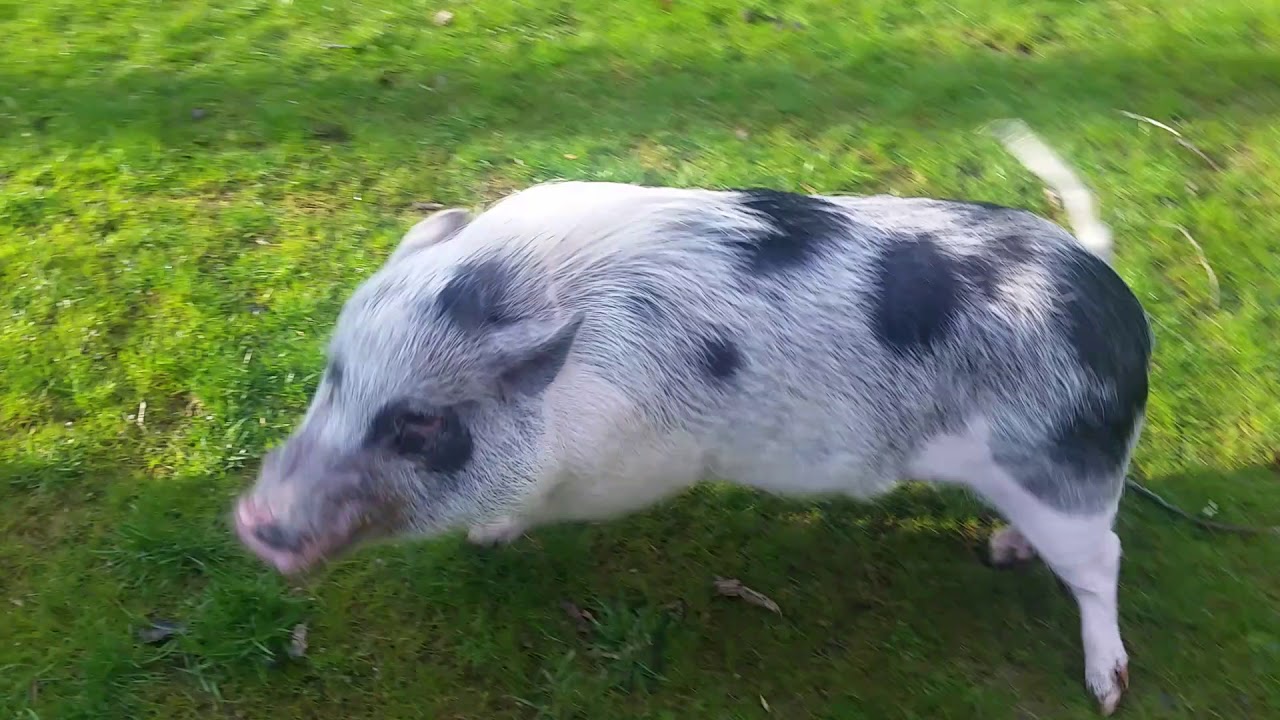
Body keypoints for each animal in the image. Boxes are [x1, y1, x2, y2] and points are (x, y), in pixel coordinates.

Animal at [234, 120, 1149, 714]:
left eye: (417, 426)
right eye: (336, 377)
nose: (254, 521)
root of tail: (1111, 293)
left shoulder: (627, 466)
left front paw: (488, 535)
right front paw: (486, 537)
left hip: (1066, 471)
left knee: (1104, 558)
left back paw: (1104, 689)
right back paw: (1002, 551)